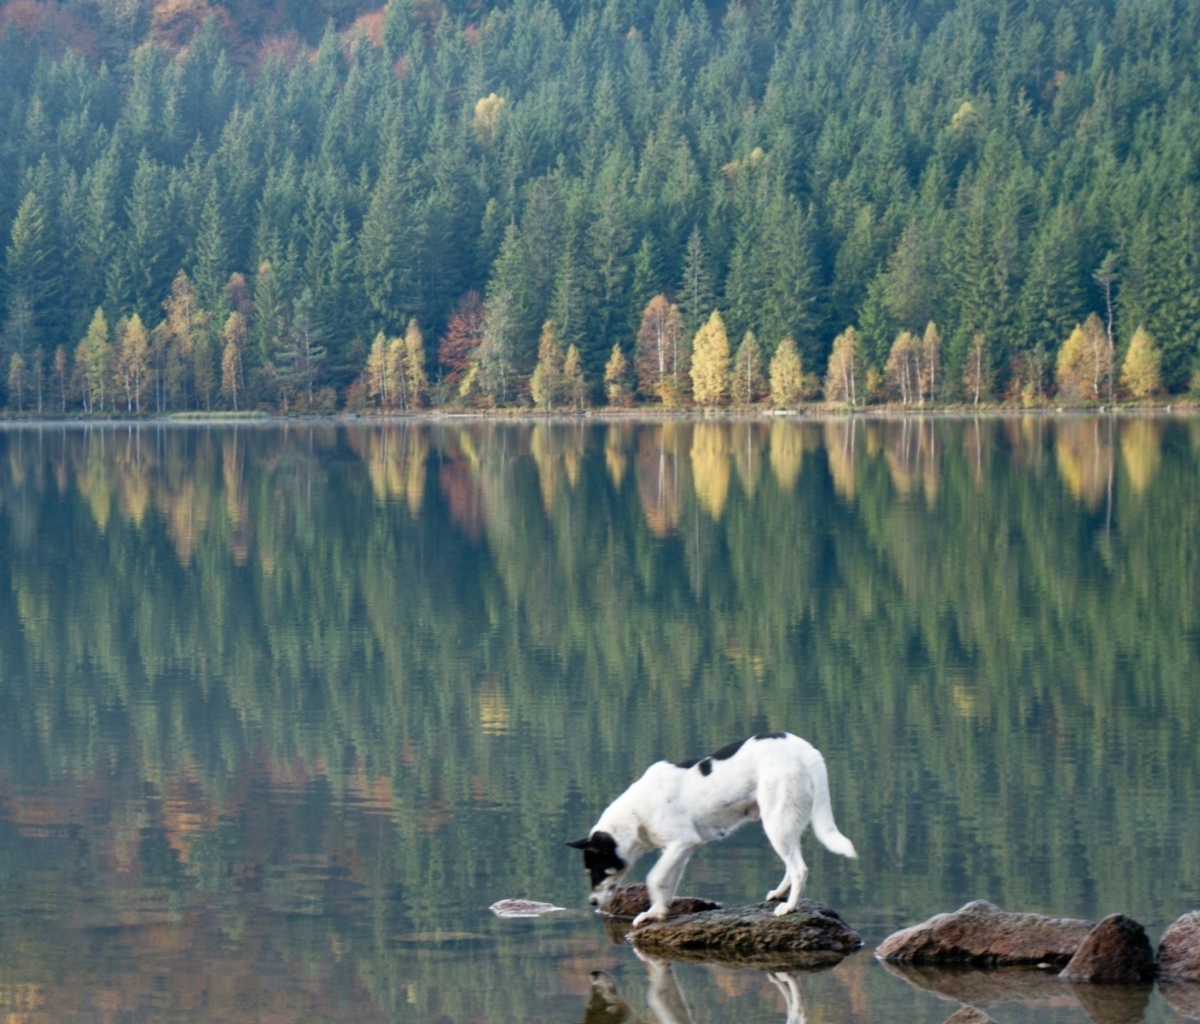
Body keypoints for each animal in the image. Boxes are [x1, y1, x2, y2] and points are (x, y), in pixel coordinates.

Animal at [568, 725, 859, 926]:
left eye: (598, 870)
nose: (591, 902)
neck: (635, 815)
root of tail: (807, 750)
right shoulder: (678, 851)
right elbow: (666, 886)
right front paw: (657, 914)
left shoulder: (683, 842)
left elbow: (654, 878)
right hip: (784, 824)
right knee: (792, 864)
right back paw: (779, 894)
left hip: (776, 823)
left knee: (799, 869)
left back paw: (789, 907)